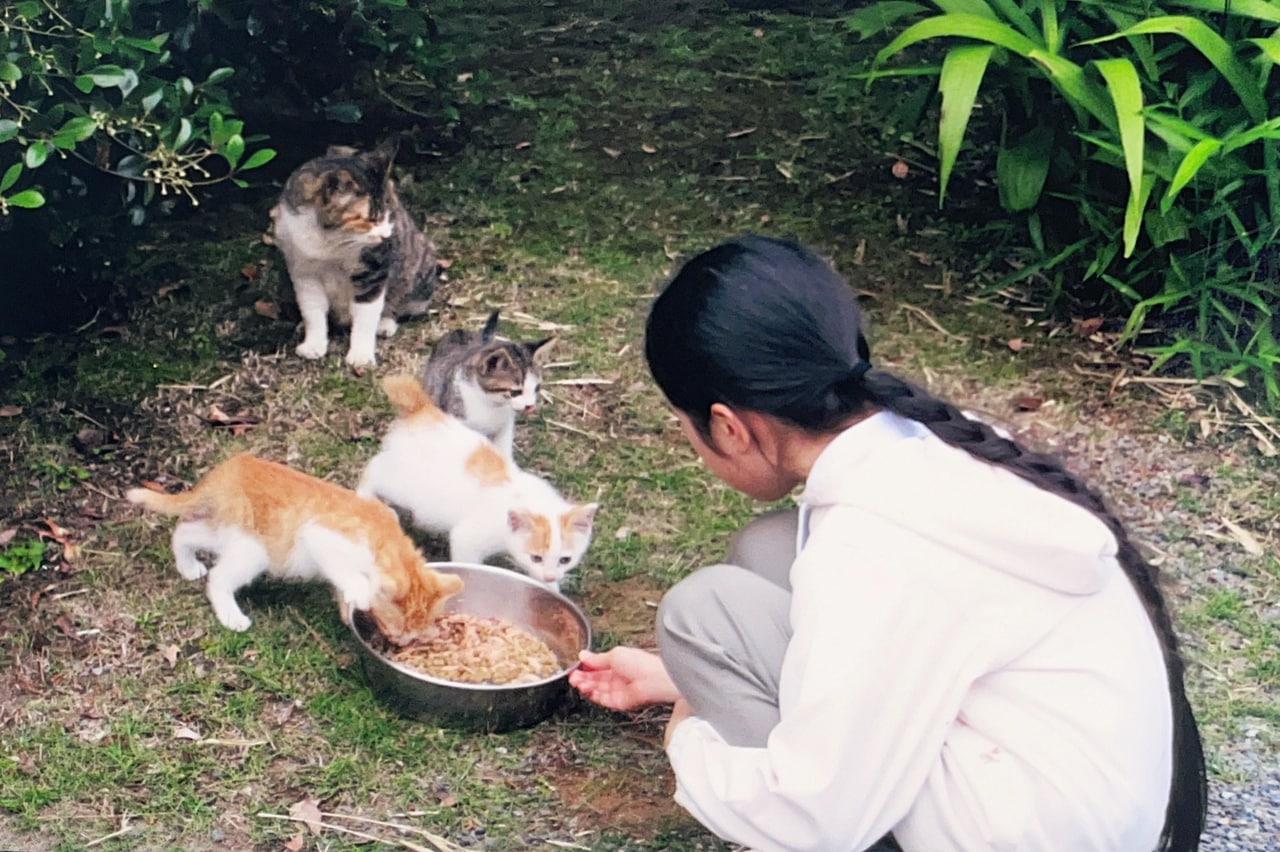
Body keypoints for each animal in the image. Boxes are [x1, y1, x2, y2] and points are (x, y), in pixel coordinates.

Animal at [124, 450, 463, 637]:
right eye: (397, 630)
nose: (401, 643)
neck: (384, 540)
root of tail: (227, 471)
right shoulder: (318, 535)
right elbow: (349, 573)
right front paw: (359, 592)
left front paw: (346, 608)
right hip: (254, 548)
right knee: (218, 576)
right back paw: (231, 615)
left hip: (230, 532)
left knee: (184, 530)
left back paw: (188, 565)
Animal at [270, 134, 440, 365]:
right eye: (370, 219)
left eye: (390, 213)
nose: (386, 235)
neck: (331, 242)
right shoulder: (304, 272)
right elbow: (312, 310)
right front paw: (313, 344)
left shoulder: (373, 270)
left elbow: (366, 314)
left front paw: (360, 355)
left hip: (419, 266)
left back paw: (385, 323)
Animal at [358, 376, 596, 588]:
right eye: (535, 557)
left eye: (565, 559)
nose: (550, 575)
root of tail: (422, 410)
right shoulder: (469, 536)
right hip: (405, 486)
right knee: (375, 468)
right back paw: (367, 500)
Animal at [419, 308, 555, 457]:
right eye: (515, 392)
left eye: (537, 388)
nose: (530, 406)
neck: (491, 403)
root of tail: (459, 331)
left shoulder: (504, 429)